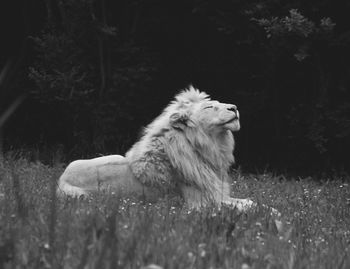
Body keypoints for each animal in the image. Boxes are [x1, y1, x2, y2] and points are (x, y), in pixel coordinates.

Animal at [57, 86, 254, 211]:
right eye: (209, 106)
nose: (234, 107)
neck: (209, 149)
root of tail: (61, 179)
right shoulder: (200, 202)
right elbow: (247, 205)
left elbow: (252, 202)